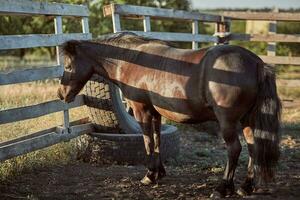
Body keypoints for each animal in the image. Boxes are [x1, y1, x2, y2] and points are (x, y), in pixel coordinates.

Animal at [57, 32, 280, 198]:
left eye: (68, 66)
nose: (61, 94)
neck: (132, 60)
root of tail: (256, 63)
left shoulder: (141, 110)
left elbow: (147, 142)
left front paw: (149, 175)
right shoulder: (155, 112)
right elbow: (157, 141)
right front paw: (159, 173)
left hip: (228, 122)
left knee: (234, 149)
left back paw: (223, 188)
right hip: (247, 120)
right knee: (253, 147)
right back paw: (246, 187)